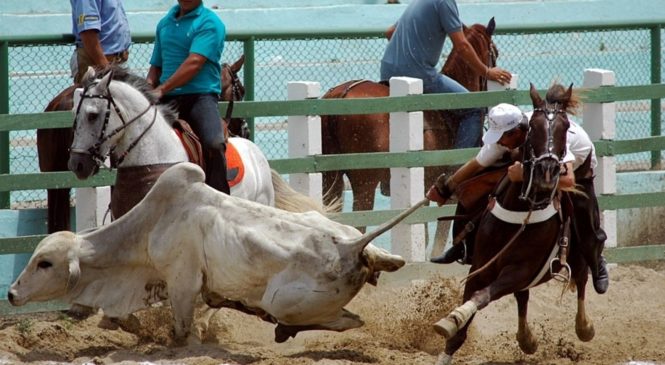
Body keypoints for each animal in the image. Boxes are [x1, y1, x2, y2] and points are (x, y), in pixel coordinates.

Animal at [9, 164, 426, 342]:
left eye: (45, 263)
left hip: (283, 300)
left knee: (345, 321)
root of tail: (353, 247)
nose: (12, 293)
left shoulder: (181, 283)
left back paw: (282, 328)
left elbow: (181, 330)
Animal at [434, 83, 592, 364]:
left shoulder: (520, 270)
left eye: (565, 127)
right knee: (523, 296)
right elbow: (463, 321)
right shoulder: (481, 266)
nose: (547, 172)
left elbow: (482, 296)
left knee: (582, 278)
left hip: (576, 252)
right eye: (533, 128)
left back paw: (584, 327)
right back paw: (526, 339)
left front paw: (455, 316)